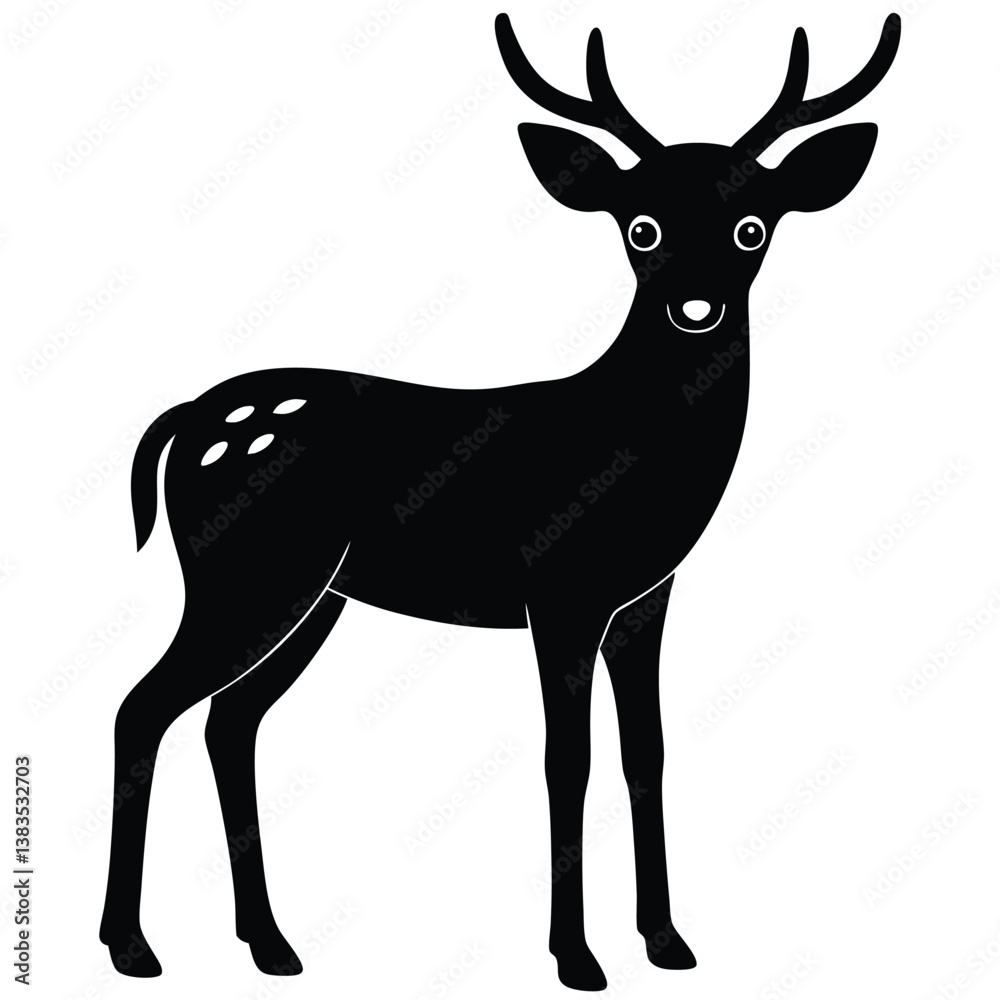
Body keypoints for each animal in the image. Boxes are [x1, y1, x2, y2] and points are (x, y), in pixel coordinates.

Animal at [98, 11, 901, 991]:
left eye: (753, 226)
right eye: (641, 227)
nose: (697, 306)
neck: (634, 449)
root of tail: (182, 420)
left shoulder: (646, 596)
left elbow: (646, 754)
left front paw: (667, 943)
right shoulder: (559, 589)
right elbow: (568, 760)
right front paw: (577, 958)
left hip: (311, 595)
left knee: (229, 721)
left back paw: (272, 945)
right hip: (245, 575)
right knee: (143, 707)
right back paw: (132, 947)